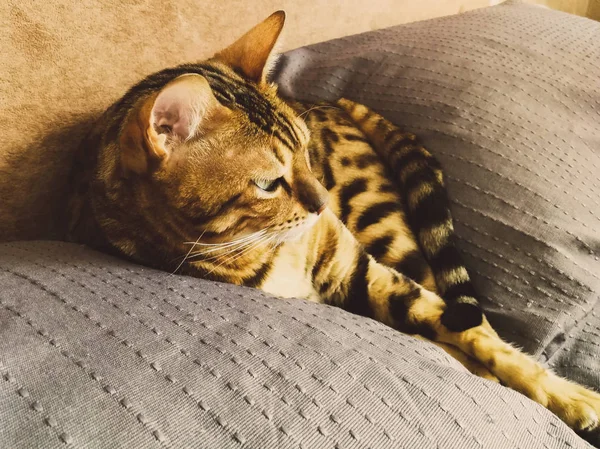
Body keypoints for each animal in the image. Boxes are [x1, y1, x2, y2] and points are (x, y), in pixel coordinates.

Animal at [65, 10, 600, 436]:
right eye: (268, 183)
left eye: (305, 151)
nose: (324, 204)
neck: (261, 249)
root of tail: (337, 102)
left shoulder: (357, 268)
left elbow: (481, 337)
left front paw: (570, 397)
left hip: (382, 223)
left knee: (457, 303)